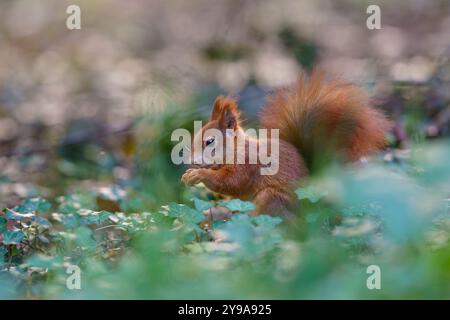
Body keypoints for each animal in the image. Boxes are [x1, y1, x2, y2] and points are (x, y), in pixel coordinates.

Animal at [181, 72, 392, 218]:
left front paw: (198, 174)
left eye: (210, 141)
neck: (236, 150)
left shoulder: (249, 165)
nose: (191, 161)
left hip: (271, 197)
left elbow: (231, 183)